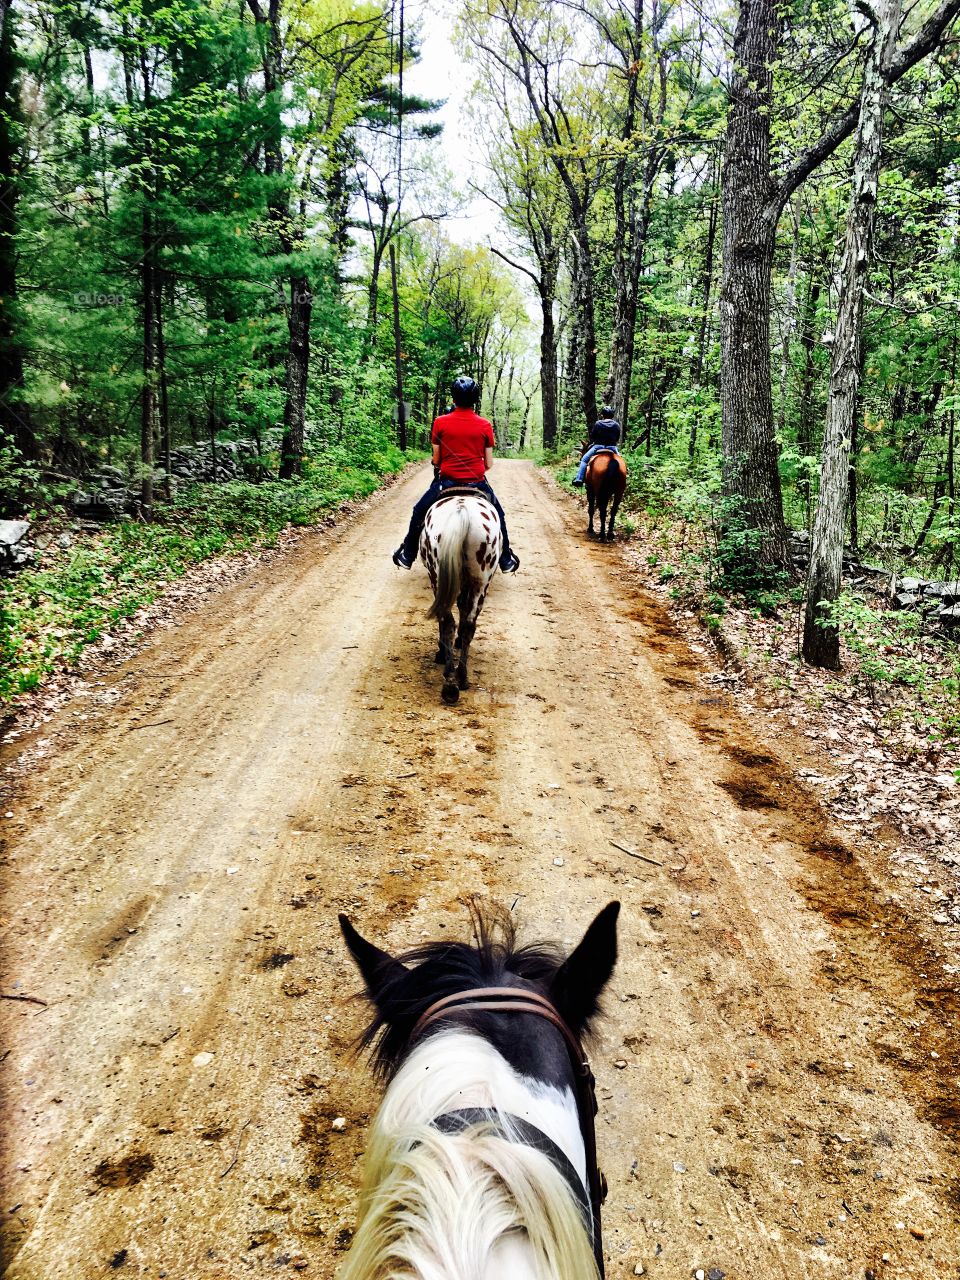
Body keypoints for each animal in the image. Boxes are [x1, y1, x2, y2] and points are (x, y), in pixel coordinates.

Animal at [419, 491, 504, 711]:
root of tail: (461, 512)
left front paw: (442, 652)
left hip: (437, 575)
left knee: (448, 621)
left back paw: (450, 679)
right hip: (481, 581)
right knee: (468, 624)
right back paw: (461, 678)